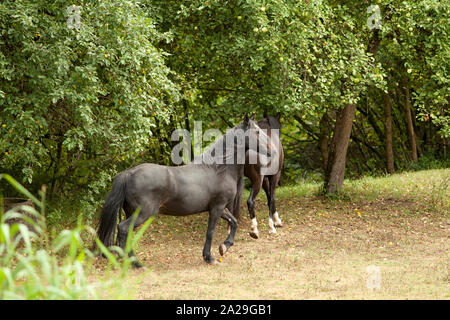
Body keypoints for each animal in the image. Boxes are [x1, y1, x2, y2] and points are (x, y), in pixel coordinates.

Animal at [96, 115, 272, 268]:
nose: (272, 151)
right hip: (143, 213)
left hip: (131, 212)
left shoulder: (220, 208)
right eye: (257, 132)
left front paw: (225, 246)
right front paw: (210, 257)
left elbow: (234, 222)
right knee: (123, 229)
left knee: (127, 233)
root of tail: (129, 173)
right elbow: (210, 232)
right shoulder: (217, 207)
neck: (218, 168)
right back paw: (135, 263)